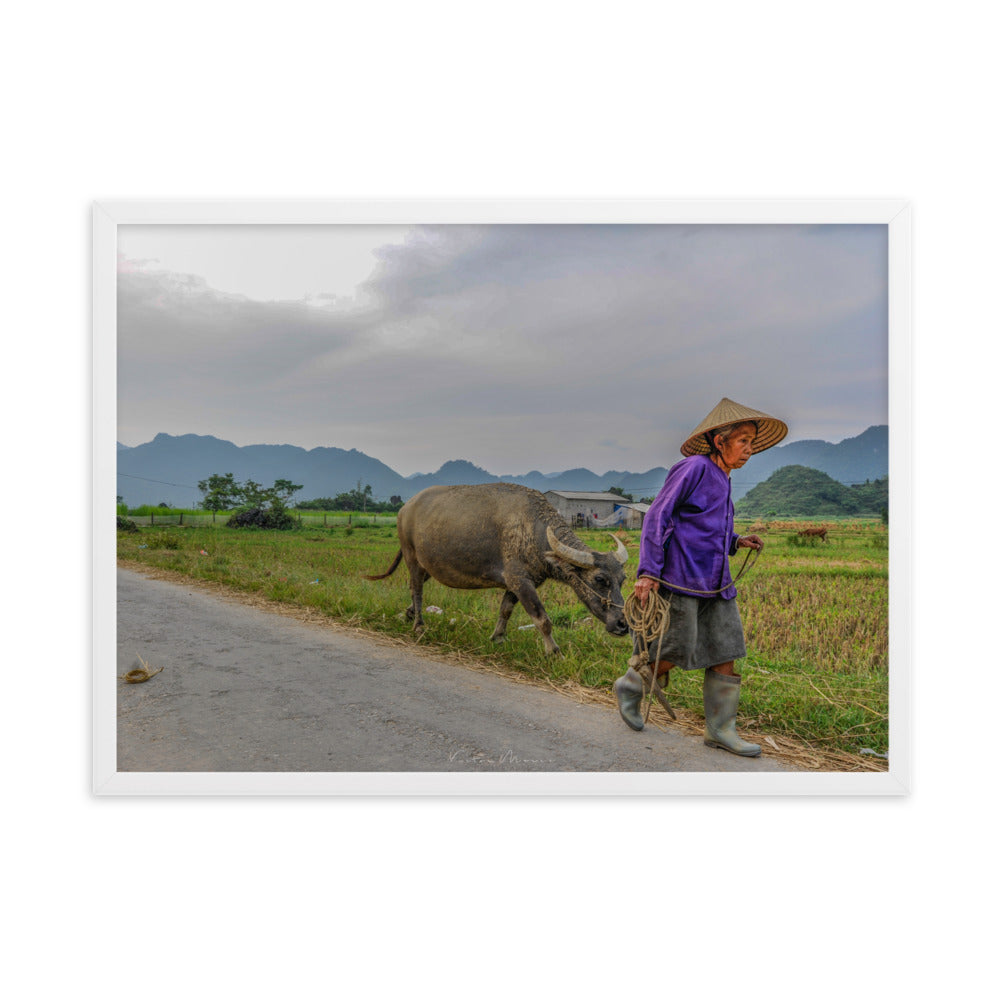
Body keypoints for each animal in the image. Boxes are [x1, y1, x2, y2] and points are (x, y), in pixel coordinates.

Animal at [364, 480, 628, 652]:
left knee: (413, 589)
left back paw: (408, 614)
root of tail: (405, 509)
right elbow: (542, 618)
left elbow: (505, 610)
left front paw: (498, 637)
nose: (623, 624)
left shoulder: (516, 584)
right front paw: (554, 651)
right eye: (600, 579)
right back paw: (418, 625)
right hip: (412, 558)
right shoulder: (521, 582)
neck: (534, 531)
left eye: (622, 580)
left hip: (429, 564)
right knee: (417, 590)